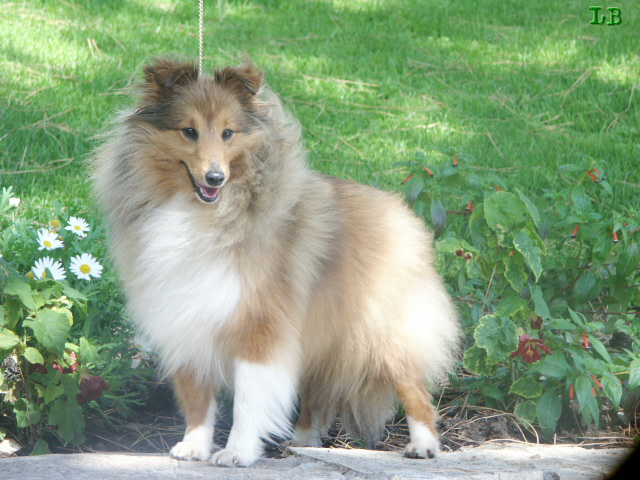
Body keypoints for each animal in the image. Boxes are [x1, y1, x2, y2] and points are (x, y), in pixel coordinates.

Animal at [92, 58, 458, 466]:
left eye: (228, 133)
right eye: (189, 131)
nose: (214, 178)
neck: (201, 213)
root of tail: (402, 213)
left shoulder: (260, 326)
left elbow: (249, 400)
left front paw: (236, 452)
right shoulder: (186, 318)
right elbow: (196, 395)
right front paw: (195, 446)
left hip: (383, 334)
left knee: (415, 392)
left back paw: (423, 445)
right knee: (317, 394)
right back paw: (304, 440)